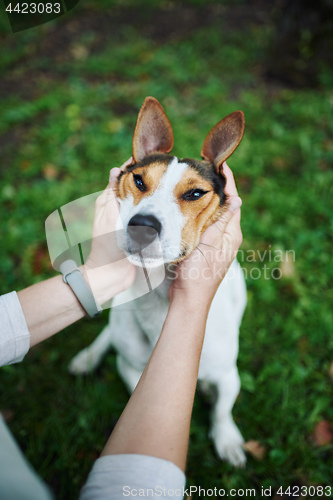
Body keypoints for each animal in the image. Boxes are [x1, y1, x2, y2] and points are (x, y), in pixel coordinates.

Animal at [69, 96, 246, 464]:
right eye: (138, 181)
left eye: (195, 194)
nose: (142, 226)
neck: (159, 302)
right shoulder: (130, 370)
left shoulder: (229, 376)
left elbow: (223, 410)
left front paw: (227, 438)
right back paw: (88, 357)